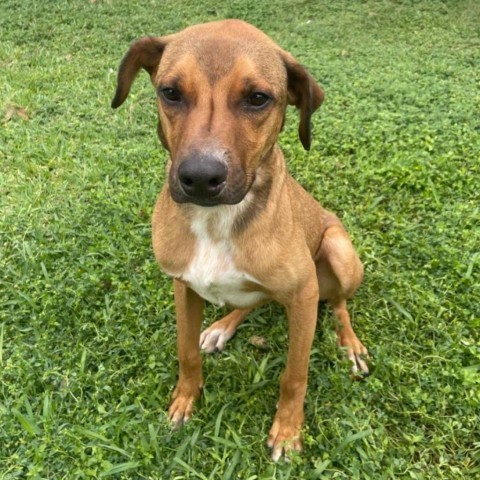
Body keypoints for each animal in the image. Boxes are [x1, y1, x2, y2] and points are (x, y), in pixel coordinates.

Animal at [111, 19, 368, 462]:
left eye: (257, 98)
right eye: (170, 92)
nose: (199, 178)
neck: (217, 221)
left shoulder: (303, 295)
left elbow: (294, 375)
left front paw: (287, 431)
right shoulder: (182, 286)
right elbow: (186, 353)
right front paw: (185, 400)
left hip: (339, 250)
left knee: (337, 302)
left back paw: (349, 343)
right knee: (253, 301)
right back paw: (222, 327)